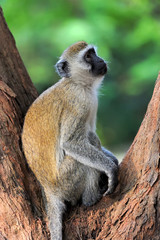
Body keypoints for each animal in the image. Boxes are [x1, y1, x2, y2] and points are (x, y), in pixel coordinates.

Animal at [21, 41, 119, 240]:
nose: (101, 60)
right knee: (84, 149)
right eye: (88, 56)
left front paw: (113, 159)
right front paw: (111, 169)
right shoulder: (79, 102)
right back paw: (90, 199)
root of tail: (50, 190)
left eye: (93, 52)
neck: (76, 83)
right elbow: (71, 143)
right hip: (67, 181)